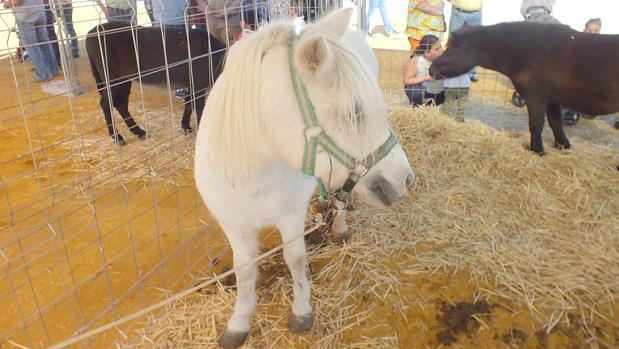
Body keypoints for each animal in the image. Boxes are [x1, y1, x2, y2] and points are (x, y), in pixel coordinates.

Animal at [85, 22, 225, 144]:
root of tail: (90, 34)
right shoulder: (198, 83)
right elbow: (199, 107)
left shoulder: (191, 83)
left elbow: (188, 103)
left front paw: (185, 126)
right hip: (112, 78)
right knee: (106, 103)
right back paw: (117, 137)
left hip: (124, 79)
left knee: (120, 104)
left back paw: (138, 131)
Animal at [196, 8, 414, 348]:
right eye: (355, 111)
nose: (404, 179)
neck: (253, 173)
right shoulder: (233, 224)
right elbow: (244, 272)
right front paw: (238, 323)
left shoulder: (290, 217)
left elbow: (295, 259)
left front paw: (301, 311)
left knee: (341, 198)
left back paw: (339, 226)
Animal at [434, 21, 619, 153]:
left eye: (451, 49)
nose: (431, 69)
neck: (527, 50)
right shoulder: (551, 99)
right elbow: (555, 123)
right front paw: (563, 146)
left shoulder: (535, 96)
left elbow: (536, 124)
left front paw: (537, 151)